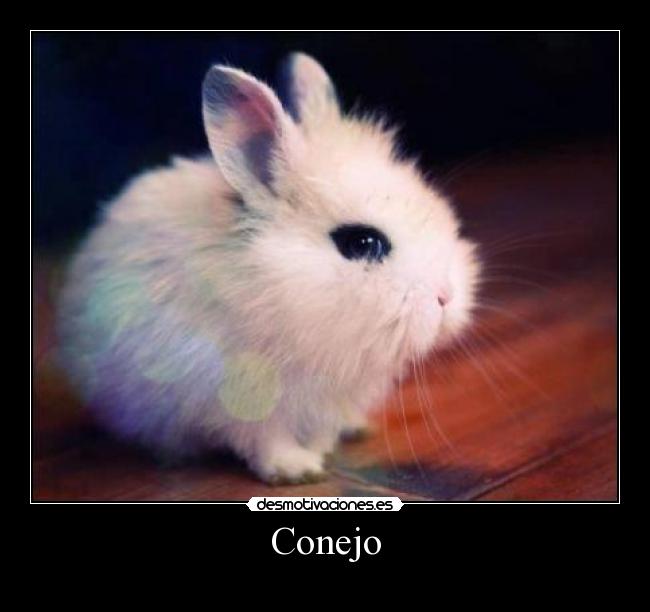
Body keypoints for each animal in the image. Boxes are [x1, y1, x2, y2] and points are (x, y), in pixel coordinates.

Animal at [56, 52, 480, 484]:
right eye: (362, 243)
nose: (447, 297)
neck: (269, 290)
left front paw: (320, 450)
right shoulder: (240, 396)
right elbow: (266, 439)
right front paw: (297, 469)